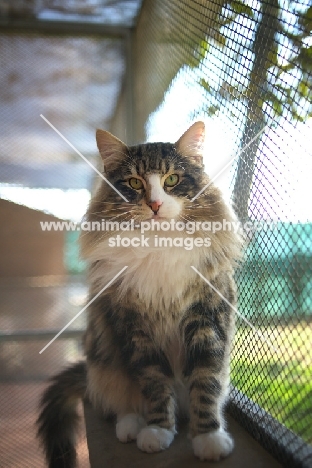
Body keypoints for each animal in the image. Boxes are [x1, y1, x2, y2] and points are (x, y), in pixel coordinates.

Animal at [36, 119, 241, 464]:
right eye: (134, 182)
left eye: (172, 180)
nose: (155, 204)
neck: (159, 245)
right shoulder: (135, 327)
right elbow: (154, 383)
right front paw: (158, 430)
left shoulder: (206, 317)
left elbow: (206, 380)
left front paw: (208, 437)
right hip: (104, 359)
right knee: (118, 402)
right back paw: (131, 425)